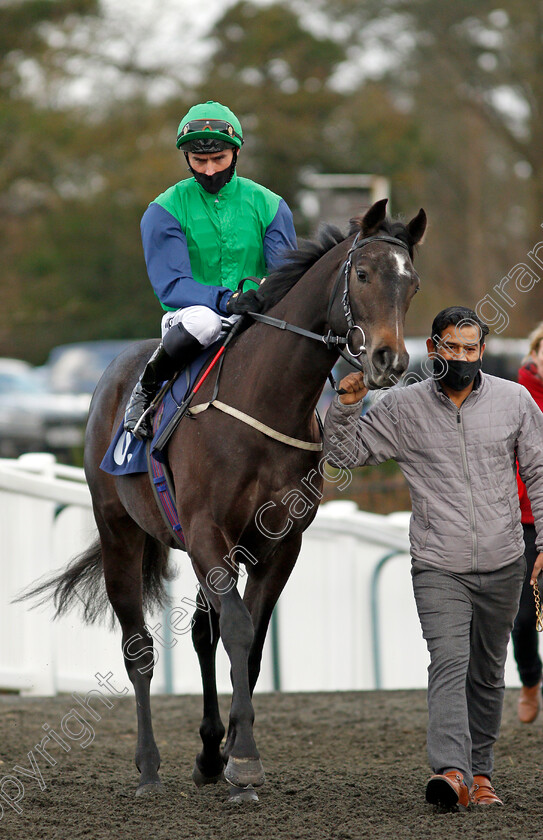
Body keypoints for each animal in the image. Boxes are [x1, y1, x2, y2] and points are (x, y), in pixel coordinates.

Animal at [24, 197, 424, 800]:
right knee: (139, 648)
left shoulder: (276, 545)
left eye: (412, 283)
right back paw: (149, 767)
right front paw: (246, 760)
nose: (389, 361)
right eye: (362, 274)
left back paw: (209, 754)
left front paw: (233, 753)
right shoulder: (207, 531)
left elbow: (249, 644)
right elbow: (235, 629)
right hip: (120, 532)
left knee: (200, 632)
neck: (265, 402)